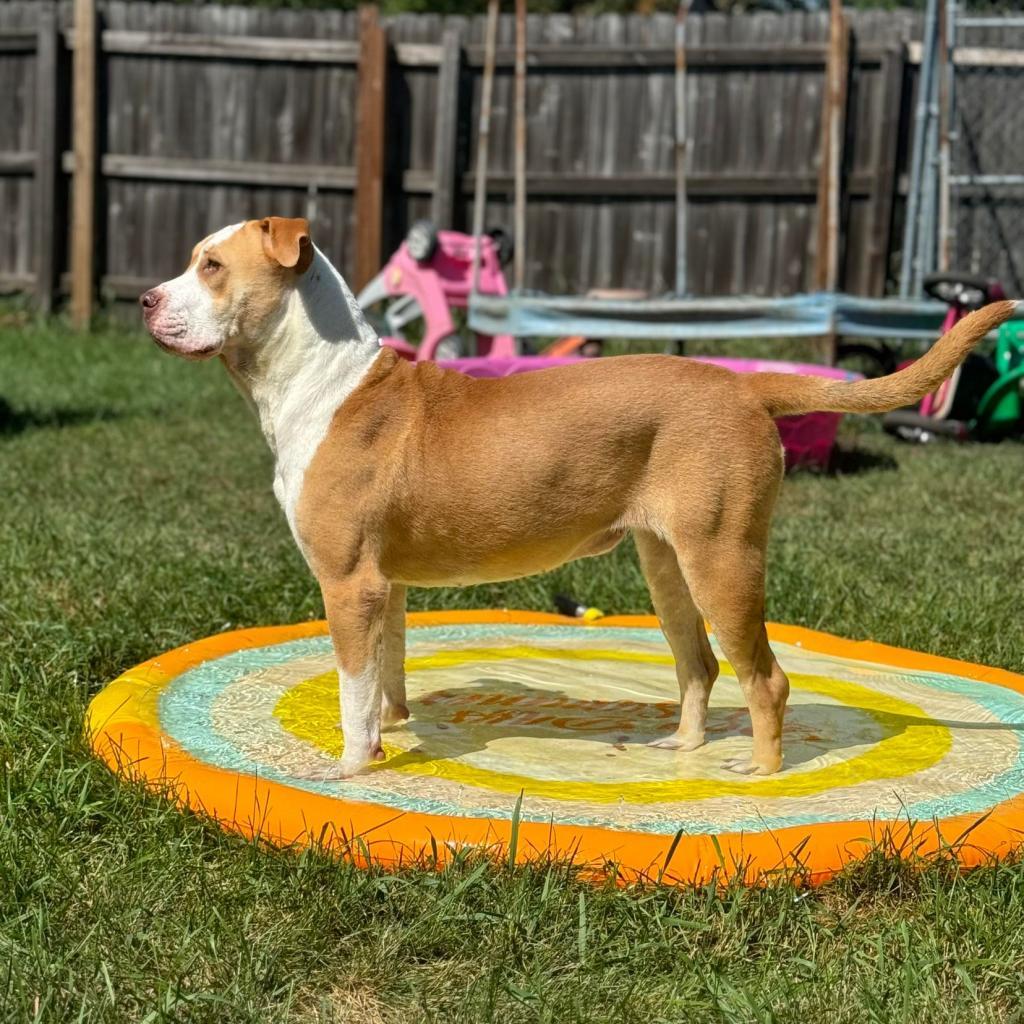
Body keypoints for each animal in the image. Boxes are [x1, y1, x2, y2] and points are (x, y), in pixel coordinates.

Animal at [142, 216, 1015, 774]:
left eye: (211, 266)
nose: (146, 300)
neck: (319, 378)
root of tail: (742, 385)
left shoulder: (348, 583)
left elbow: (354, 687)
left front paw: (353, 768)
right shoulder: (384, 587)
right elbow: (386, 675)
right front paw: (394, 735)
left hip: (722, 560)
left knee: (765, 678)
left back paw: (759, 776)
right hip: (667, 563)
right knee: (699, 666)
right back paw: (682, 750)